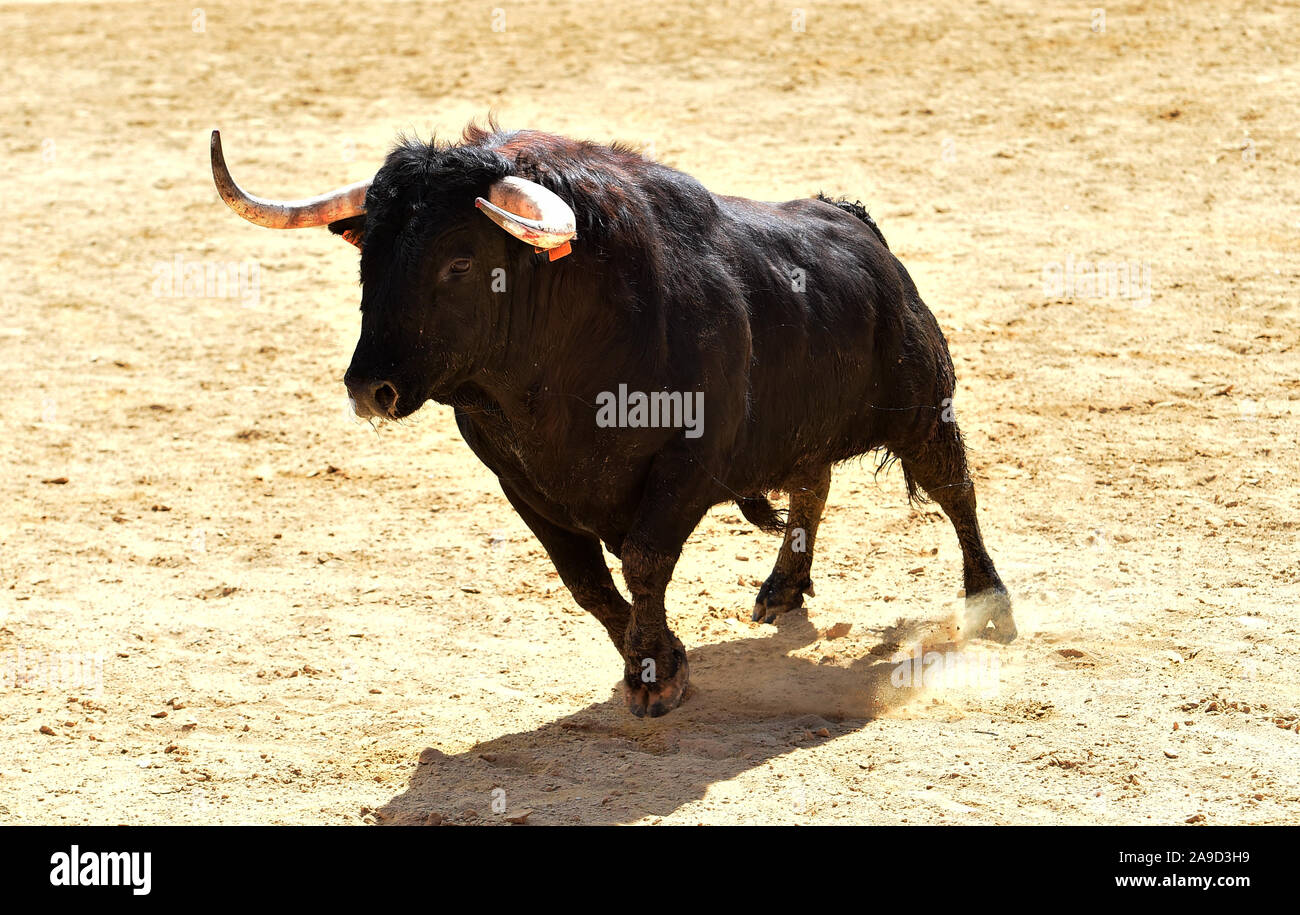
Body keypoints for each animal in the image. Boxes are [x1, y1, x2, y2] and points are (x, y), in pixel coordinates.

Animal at [210, 120, 1016, 718]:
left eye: (459, 263)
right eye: (367, 259)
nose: (368, 388)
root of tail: (853, 222)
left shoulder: (688, 463)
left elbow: (642, 560)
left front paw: (656, 675)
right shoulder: (519, 483)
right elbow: (587, 583)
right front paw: (657, 657)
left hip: (923, 409)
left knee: (956, 492)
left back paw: (991, 604)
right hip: (805, 430)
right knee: (812, 485)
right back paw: (782, 589)